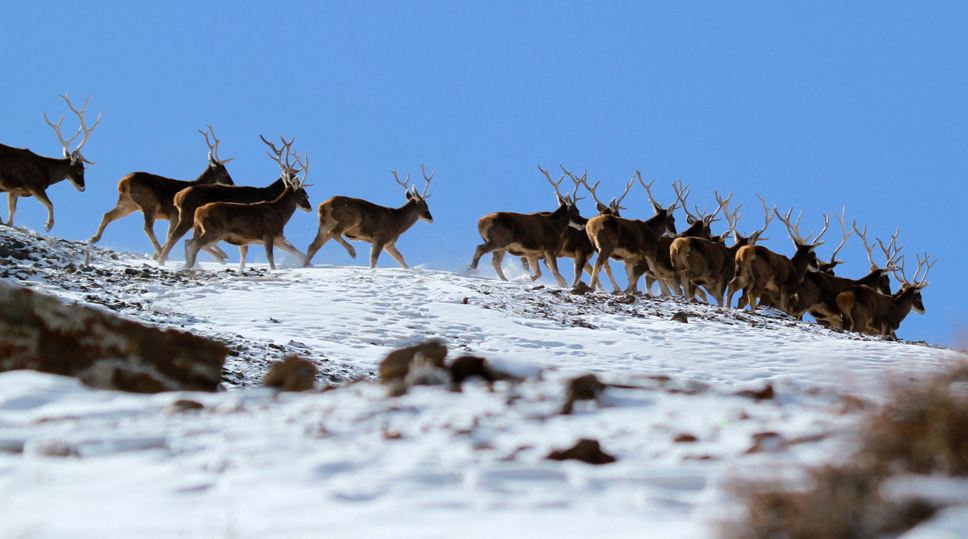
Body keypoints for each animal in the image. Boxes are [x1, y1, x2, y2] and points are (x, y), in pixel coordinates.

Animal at [0, 93, 100, 232]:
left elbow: (12, 210)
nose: (83, 187)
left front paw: (8, 223)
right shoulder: (34, 185)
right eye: (80, 169)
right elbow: (50, 203)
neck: (47, 172)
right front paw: (48, 225)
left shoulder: (14, 190)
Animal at [89, 126, 236, 262]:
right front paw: (221, 256)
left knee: (107, 215)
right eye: (224, 172)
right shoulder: (176, 214)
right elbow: (173, 234)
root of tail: (123, 182)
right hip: (148, 202)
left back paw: (93, 238)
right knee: (147, 227)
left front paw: (222, 254)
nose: (233, 184)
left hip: (128, 203)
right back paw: (160, 253)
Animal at [304, 162, 436, 268]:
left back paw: (305, 265)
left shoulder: (389, 244)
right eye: (425, 205)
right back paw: (352, 252)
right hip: (350, 218)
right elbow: (373, 260)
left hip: (325, 223)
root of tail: (322, 206)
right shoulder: (380, 237)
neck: (397, 224)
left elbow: (400, 258)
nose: (431, 218)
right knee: (333, 232)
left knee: (313, 246)